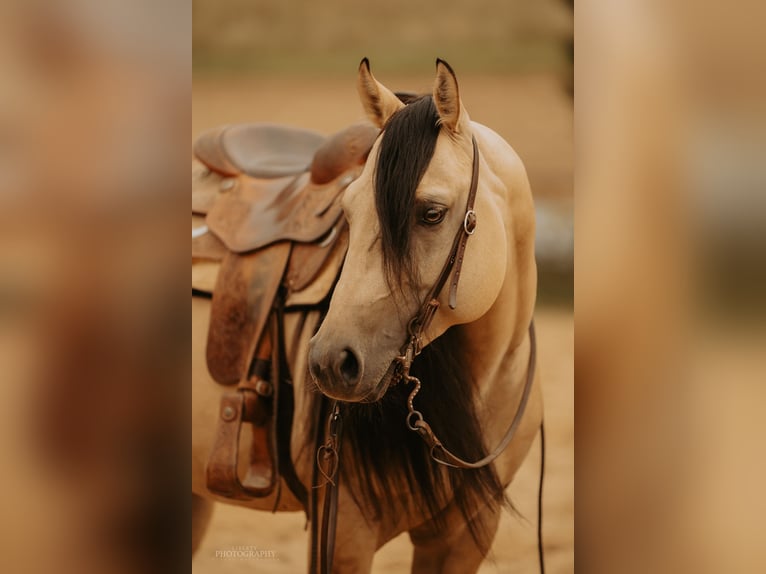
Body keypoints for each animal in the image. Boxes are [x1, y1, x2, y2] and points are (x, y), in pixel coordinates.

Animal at [192, 59, 544, 574]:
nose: (328, 363)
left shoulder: (464, 536)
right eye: (348, 213)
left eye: (432, 213)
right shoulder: (343, 535)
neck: (492, 375)